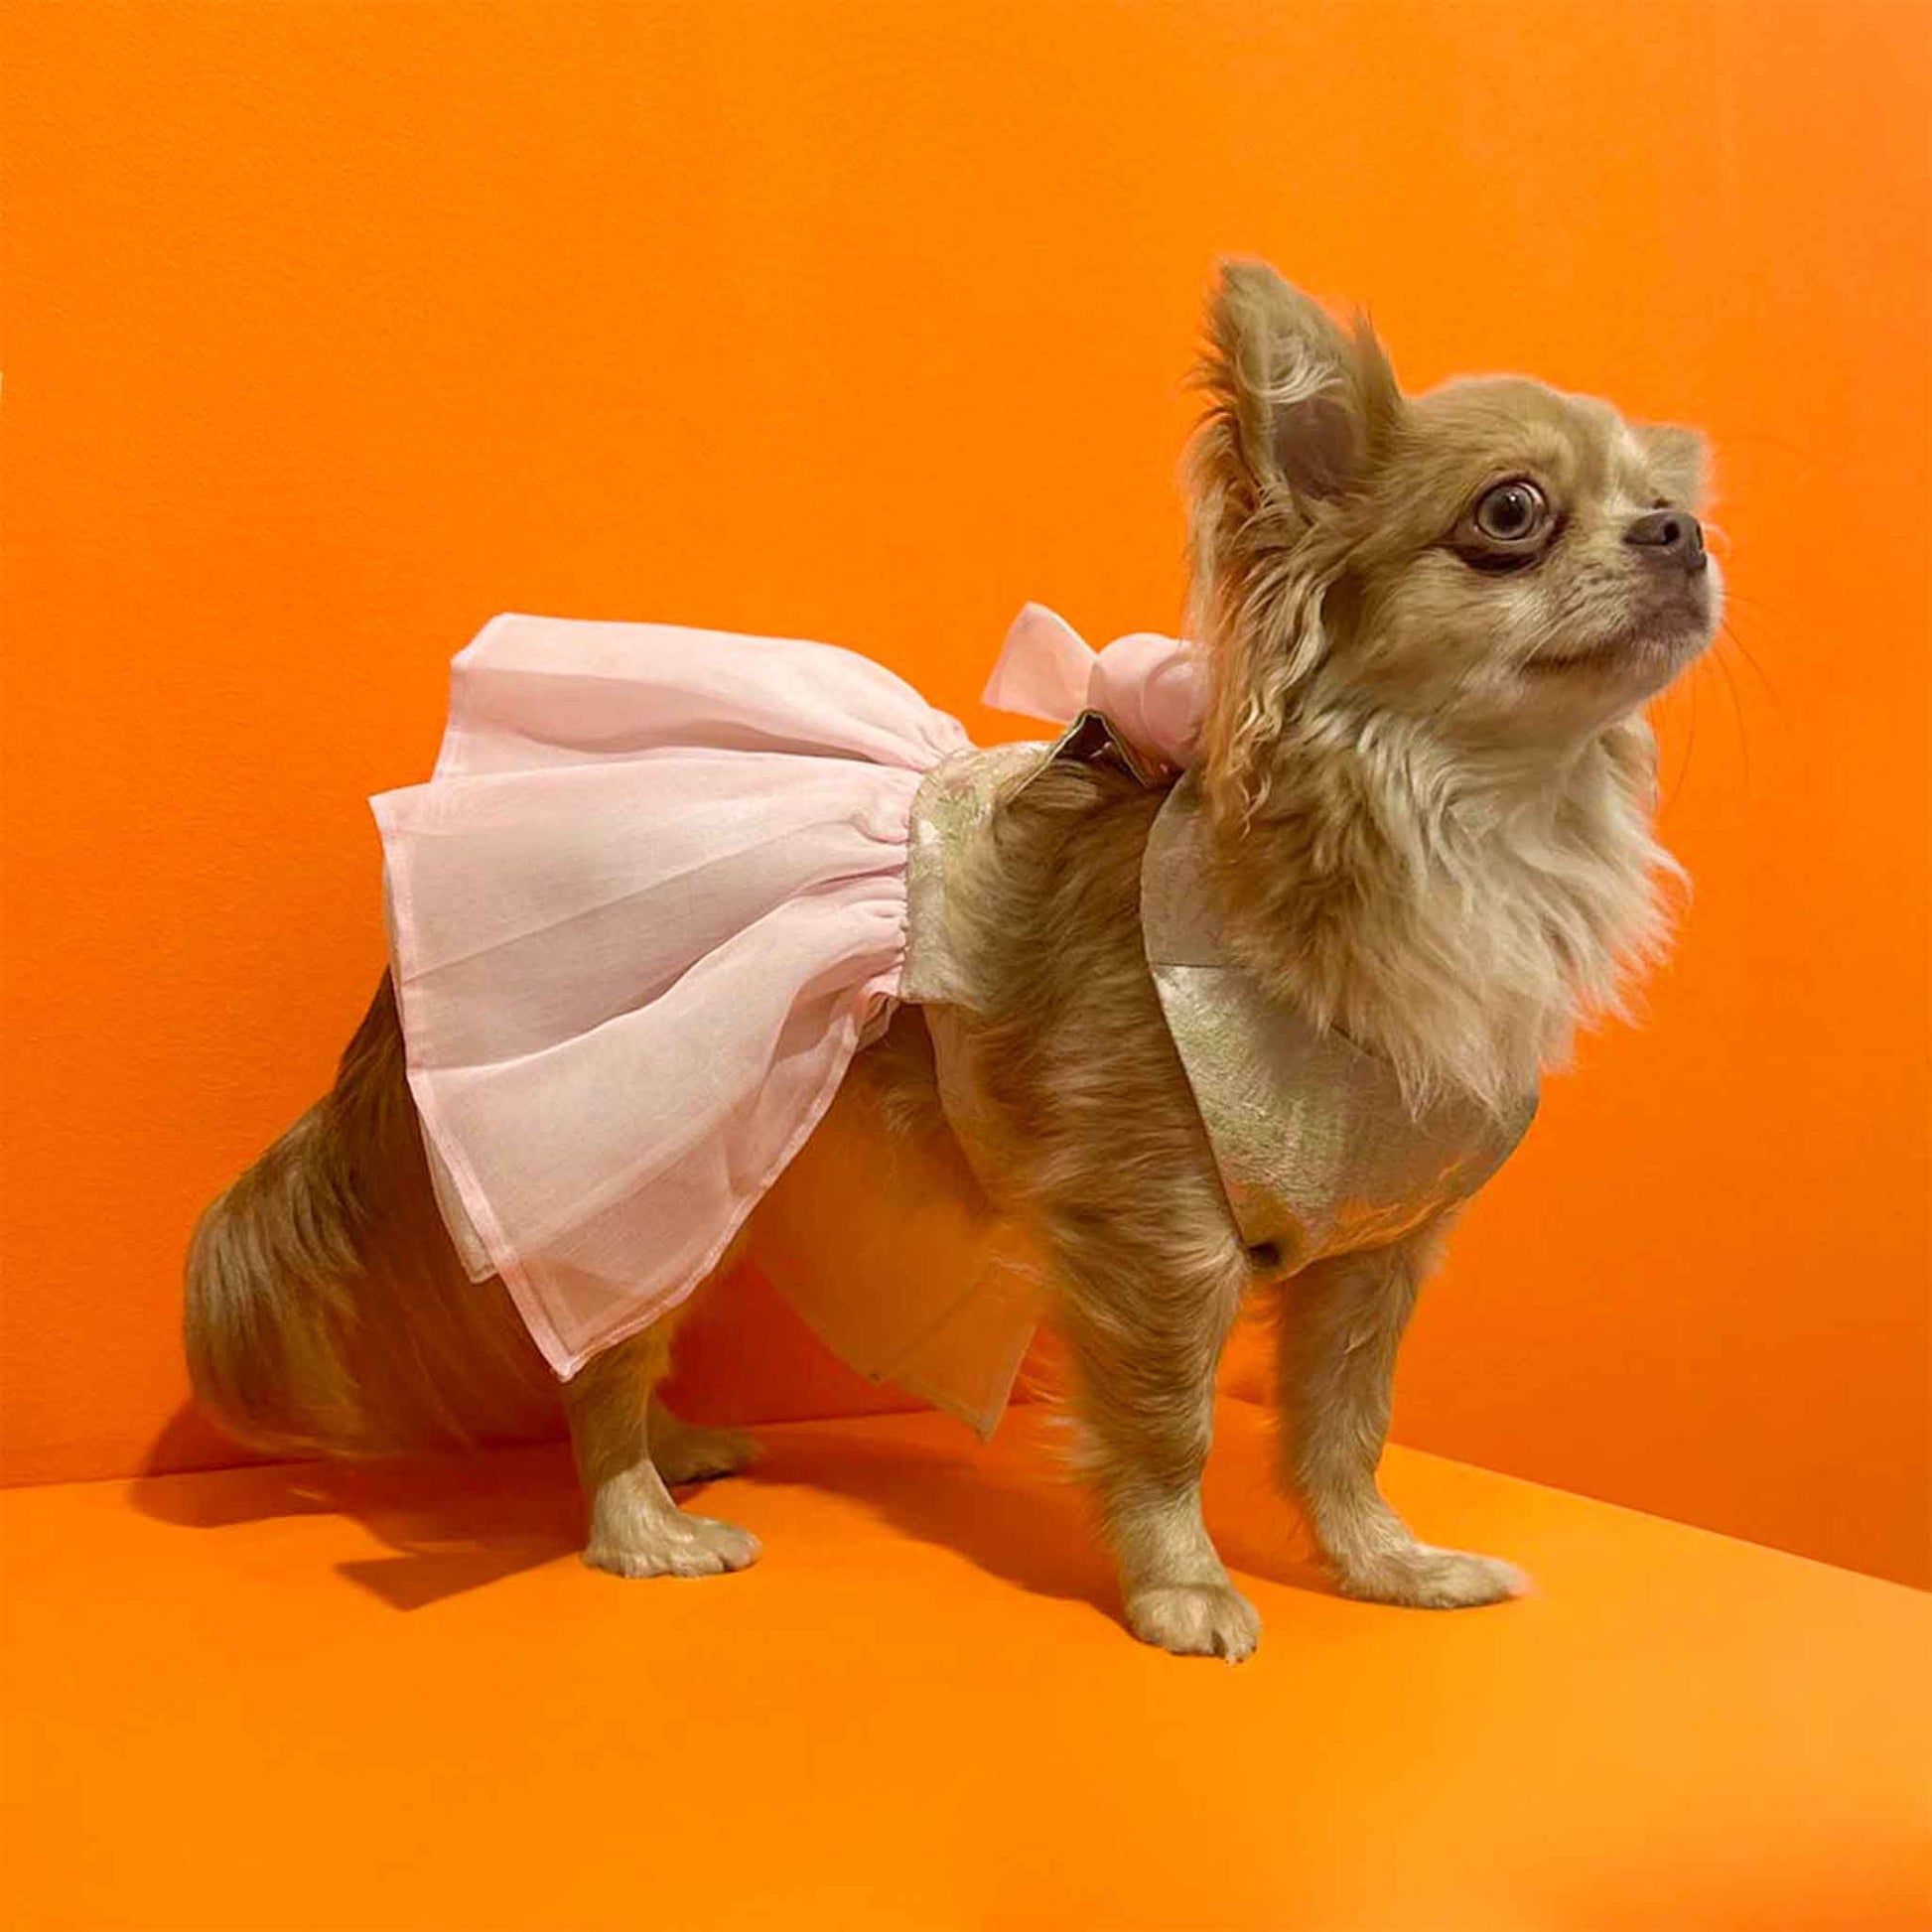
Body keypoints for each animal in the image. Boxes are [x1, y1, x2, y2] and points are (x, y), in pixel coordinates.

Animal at [188, 268, 1716, 1661]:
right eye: (1508, 513)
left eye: (1663, 499)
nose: (1681, 531)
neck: (1458, 828)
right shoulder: (1157, 1232)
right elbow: (1168, 1425)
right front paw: (1181, 1591)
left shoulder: (1376, 1253)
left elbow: (1343, 1429)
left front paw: (1385, 1565)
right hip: (642, 1143)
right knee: (597, 1357)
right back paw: (637, 1520)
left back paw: (672, 1447)